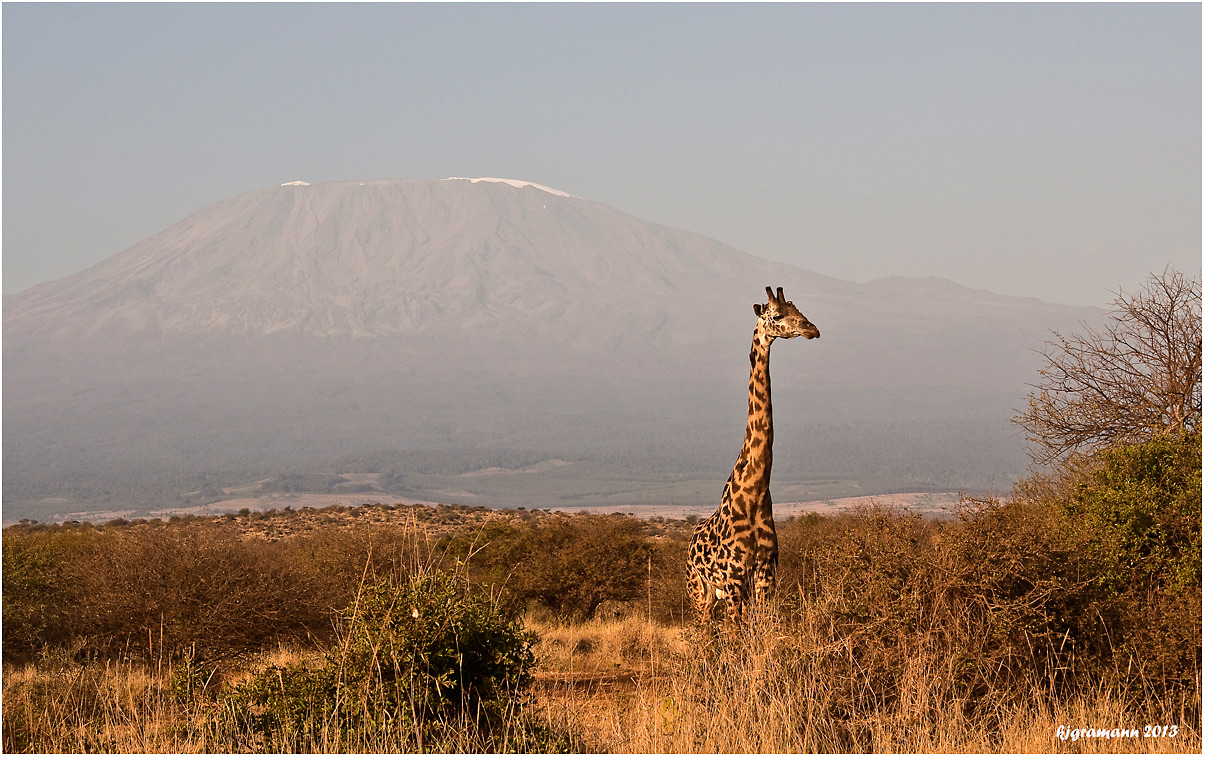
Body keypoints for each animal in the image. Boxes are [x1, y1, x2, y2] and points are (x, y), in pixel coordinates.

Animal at [689, 286, 819, 621]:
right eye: (777, 315)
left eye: (799, 309)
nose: (812, 329)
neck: (755, 492)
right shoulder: (734, 578)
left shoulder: (765, 575)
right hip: (700, 592)